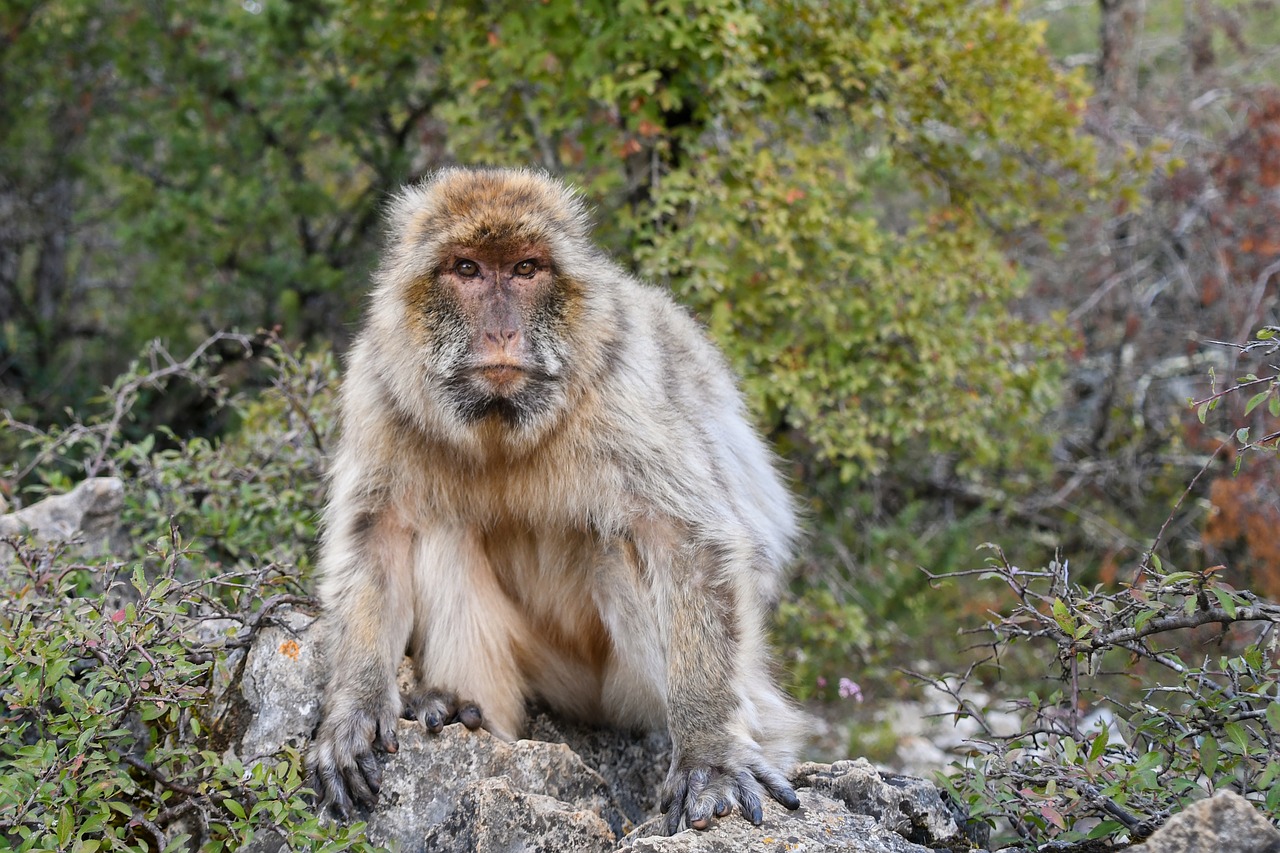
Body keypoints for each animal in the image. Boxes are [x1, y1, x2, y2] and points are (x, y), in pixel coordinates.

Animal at [309, 166, 803, 829]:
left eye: (525, 268)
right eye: (466, 269)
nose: (501, 331)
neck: (502, 424)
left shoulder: (621, 382)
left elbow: (688, 542)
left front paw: (710, 752)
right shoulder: (380, 384)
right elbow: (377, 534)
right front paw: (355, 708)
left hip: (625, 691)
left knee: (618, 546)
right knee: (442, 527)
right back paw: (461, 708)